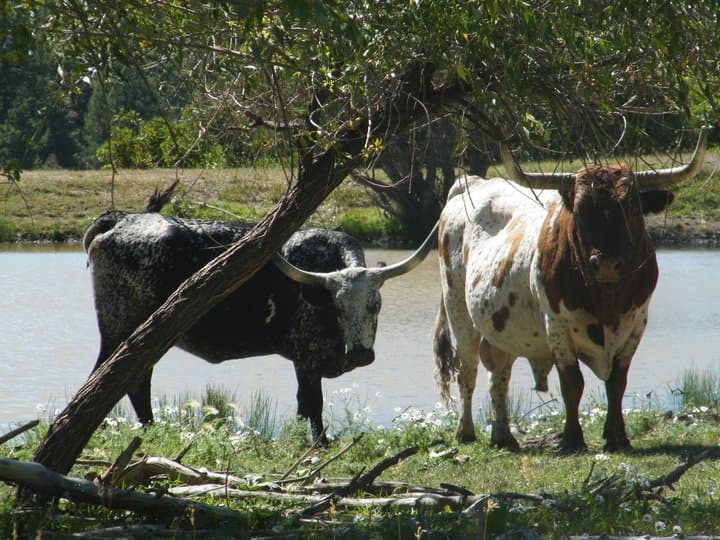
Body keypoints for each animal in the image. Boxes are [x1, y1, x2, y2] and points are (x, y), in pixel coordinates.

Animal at [83, 207, 437, 443]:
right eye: (337, 308)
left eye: (375, 305)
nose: (361, 354)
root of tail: (123, 219)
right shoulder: (306, 357)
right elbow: (314, 404)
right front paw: (319, 444)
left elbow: (303, 405)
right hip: (120, 329)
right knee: (113, 380)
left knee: (135, 381)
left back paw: (150, 428)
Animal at [434, 129, 707, 452]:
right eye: (579, 211)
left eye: (631, 208)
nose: (605, 263)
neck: (607, 300)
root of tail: (472, 182)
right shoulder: (558, 327)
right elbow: (572, 383)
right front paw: (573, 438)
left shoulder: (636, 325)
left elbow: (617, 383)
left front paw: (617, 437)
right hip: (458, 312)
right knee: (468, 370)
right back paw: (465, 431)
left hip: (501, 325)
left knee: (498, 372)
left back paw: (502, 435)